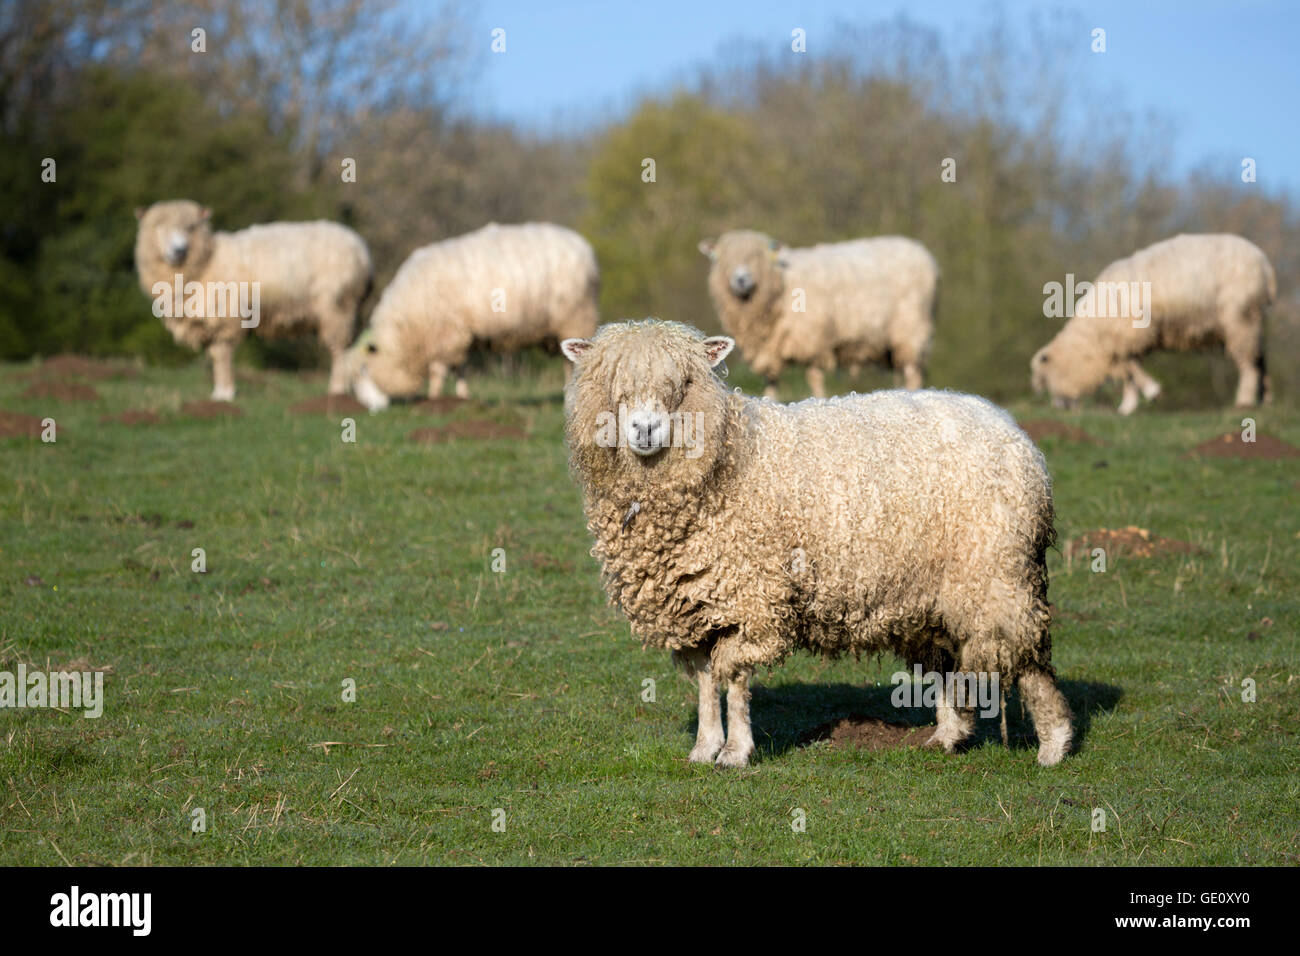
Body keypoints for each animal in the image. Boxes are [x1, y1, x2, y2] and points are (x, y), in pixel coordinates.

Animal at [133, 197, 371, 400]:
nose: (178, 250)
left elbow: (221, 354)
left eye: (191, 227)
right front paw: (219, 392)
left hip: (338, 306)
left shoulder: (225, 315)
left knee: (340, 349)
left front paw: (225, 394)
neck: (206, 262)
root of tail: (362, 251)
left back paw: (337, 390)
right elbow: (214, 354)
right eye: (158, 227)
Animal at [353, 221, 600, 408]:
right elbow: (461, 367)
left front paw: (434, 399)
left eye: (365, 371)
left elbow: (438, 370)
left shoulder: (445, 332)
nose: (371, 409)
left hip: (576, 318)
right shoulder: (461, 333)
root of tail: (583, 246)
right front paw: (462, 396)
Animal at [564, 321, 1071, 770]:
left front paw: (735, 753)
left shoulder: (751, 595)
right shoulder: (695, 604)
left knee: (1030, 658)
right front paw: (704, 748)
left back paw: (1054, 745)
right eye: (611, 386)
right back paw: (948, 737)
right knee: (947, 660)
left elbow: (735, 678)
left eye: (684, 384)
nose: (645, 430)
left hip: (997, 572)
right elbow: (708, 681)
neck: (728, 457)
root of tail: (1012, 431)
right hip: (934, 590)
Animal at [702, 231, 935, 400]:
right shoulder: (769, 347)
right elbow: (771, 379)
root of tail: (922, 251)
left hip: (911, 328)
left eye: (757, 257)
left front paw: (819, 399)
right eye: (723, 259)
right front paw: (770, 399)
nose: (740, 280)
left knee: (913, 373)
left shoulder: (813, 336)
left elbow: (814, 377)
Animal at [1034, 234, 1279, 413]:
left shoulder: (1131, 333)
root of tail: (1265, 265)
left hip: (1241, 318)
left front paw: (1151, 392)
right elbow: (1128, 372)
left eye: (1045, 377)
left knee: (1249, 362)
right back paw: (1266, 400)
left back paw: (1244, 401)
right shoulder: (1125, 341)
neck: (1091, 339)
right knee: (1260, 358)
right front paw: (1128, 406)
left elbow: (1130, 367)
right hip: (1253, 320)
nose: (1058, 407)